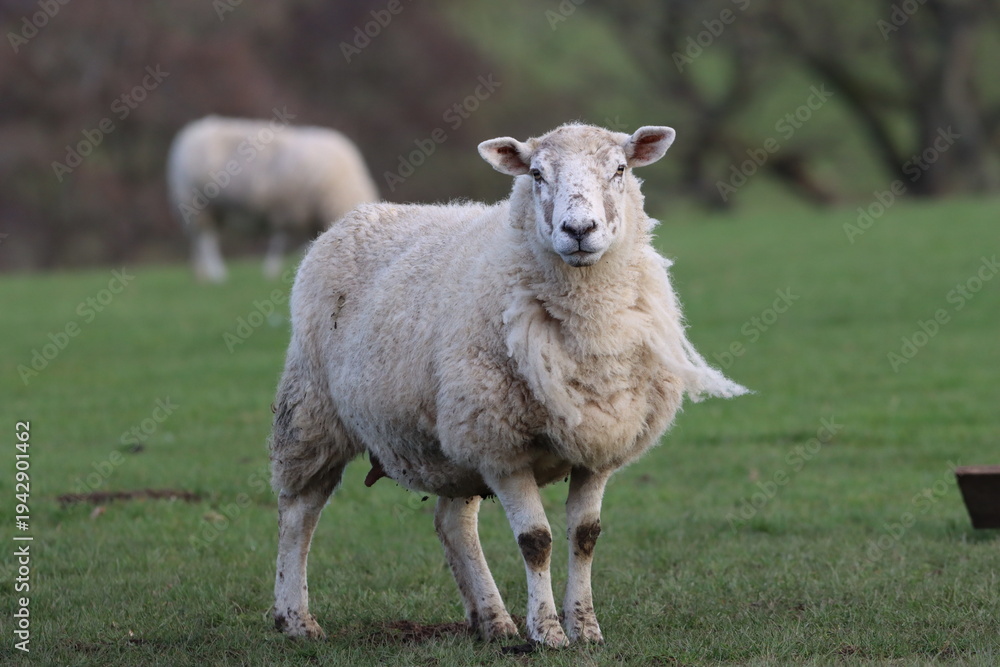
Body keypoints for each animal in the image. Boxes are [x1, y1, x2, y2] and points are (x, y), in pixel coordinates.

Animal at [166, 115, 379, 282]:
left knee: (197, 239)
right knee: (207, 239)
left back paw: (200, 275)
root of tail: (191, 131)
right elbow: (279, 240)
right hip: (197, 201)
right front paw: (271, 270)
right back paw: (217, 274)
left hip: (205, 208)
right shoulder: (285, 208)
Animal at [269, 123, 748, 647]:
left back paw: (493, 620)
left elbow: (586, 536)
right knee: (299, 512)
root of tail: (357, 217)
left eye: (620, 169)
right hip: (313, 410)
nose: (579, 231)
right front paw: (548, 632)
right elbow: (535, 541)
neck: (589, 327)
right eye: (536, 174)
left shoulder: (597, 444)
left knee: (453, 524)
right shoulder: (502, 446)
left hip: (452, 443)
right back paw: (295, 618)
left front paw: (585, 627)